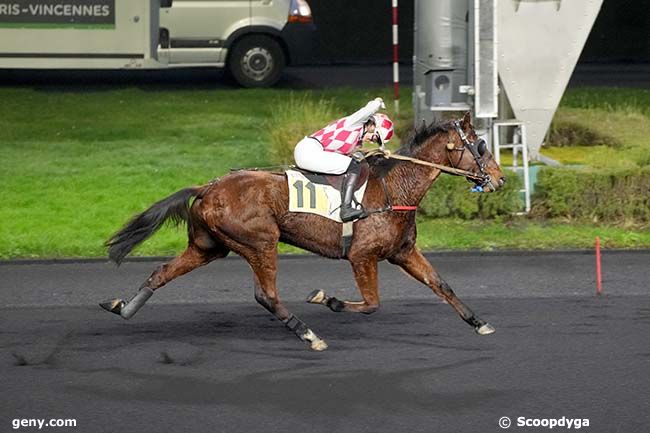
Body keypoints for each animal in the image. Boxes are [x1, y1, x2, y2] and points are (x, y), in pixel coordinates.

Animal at [102, 112, 506, 352]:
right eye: (481, 146)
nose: (500, 180)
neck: (396, 187)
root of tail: (207, 187)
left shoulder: (402, 251)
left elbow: (441, 285)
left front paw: (480, 323)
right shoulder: (362, 255)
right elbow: (371, 303)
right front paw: (326, 299)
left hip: (209, 246)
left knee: (162, 272)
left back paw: (123, 307)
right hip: (260, 241)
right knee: (266, 295)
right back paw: (310, 334)